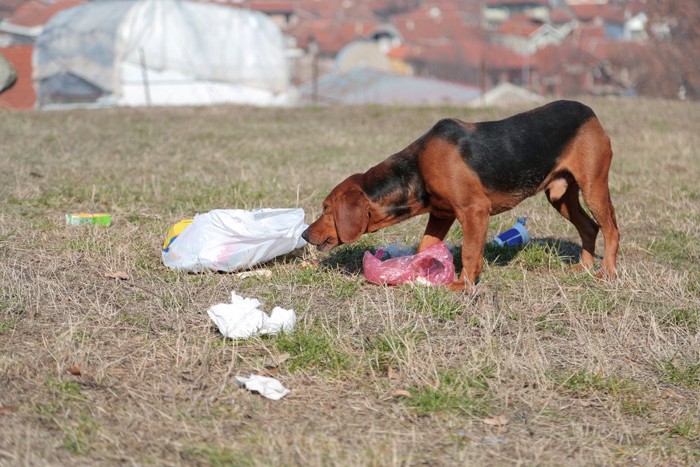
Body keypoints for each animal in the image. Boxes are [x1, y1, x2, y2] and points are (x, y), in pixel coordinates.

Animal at [304, 101, 620, 292]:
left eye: (326, 208)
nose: (305, 234)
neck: (416, 167)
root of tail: (589, 111)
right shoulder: (440, 214)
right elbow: (425, 246)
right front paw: (419, 271)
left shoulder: (474, 210)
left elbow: (469, 252)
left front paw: (462, 285)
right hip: (560, 195)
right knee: (590, 228)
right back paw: (584, 267)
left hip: (593, 185)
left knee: (611, 230)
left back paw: (607, 273)